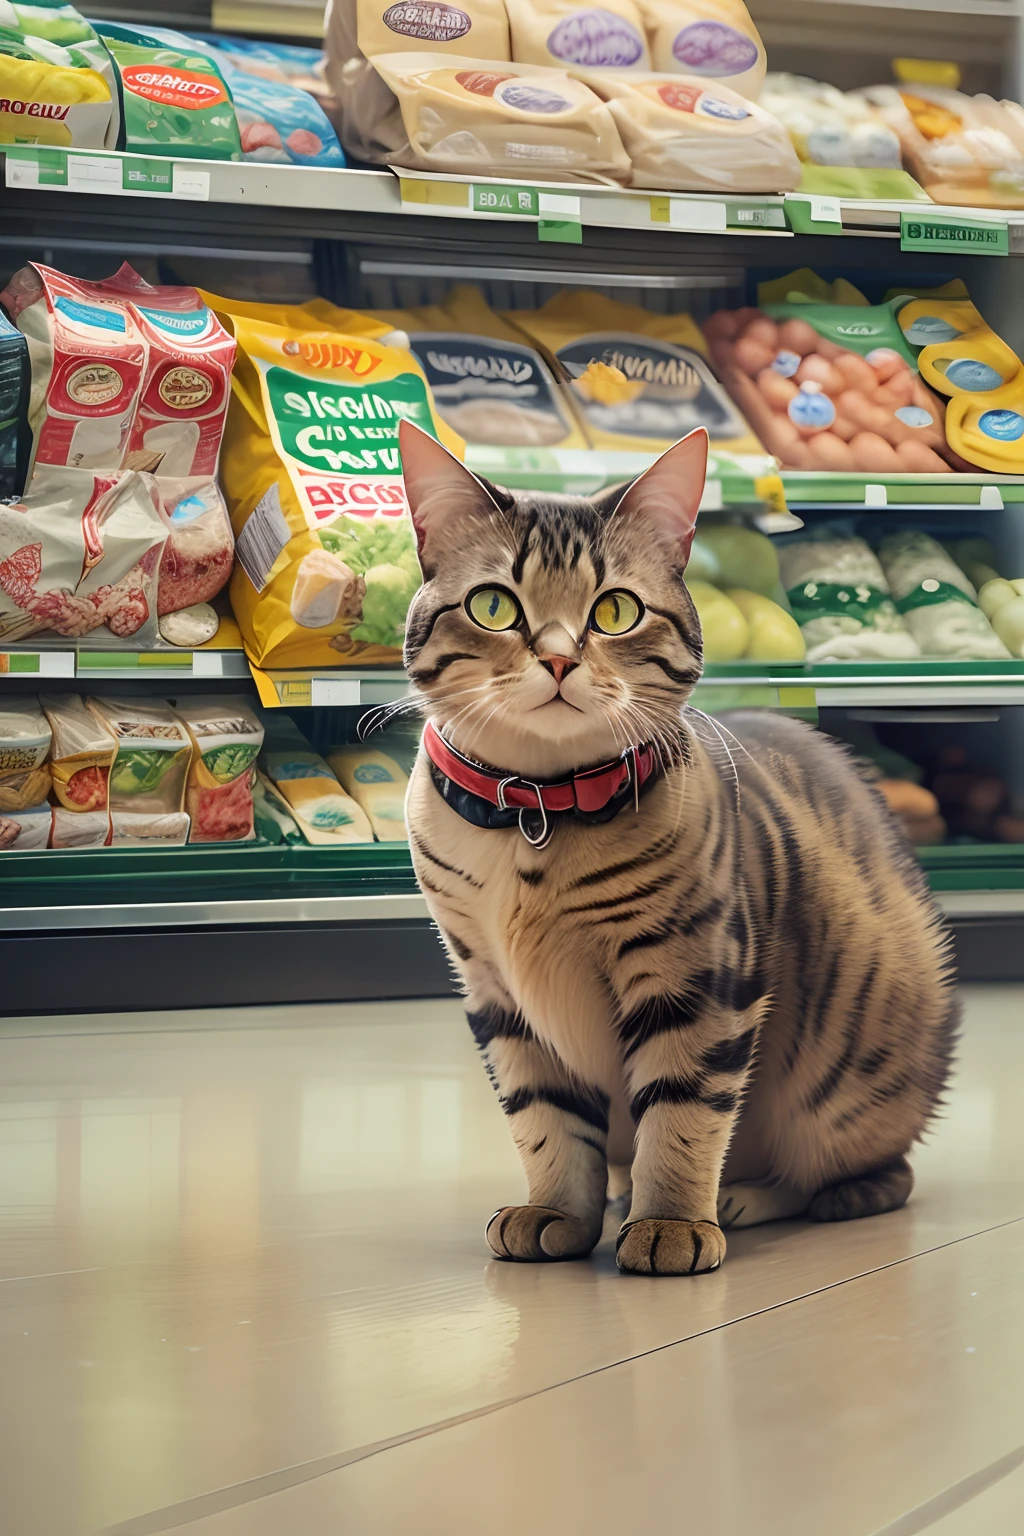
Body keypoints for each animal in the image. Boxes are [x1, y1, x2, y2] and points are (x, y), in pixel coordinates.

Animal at [396, 417, 957, 1271]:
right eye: (494, 606)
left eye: (615, 612)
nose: (557, 658)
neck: (537, 811)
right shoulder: (498, 996)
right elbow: (545, 1120)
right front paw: (558, 1210)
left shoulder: (695, 978)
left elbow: (683, 1111)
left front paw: (670, 1222)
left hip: (844, 1092)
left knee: (865, 1174)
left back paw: (742, 1197)